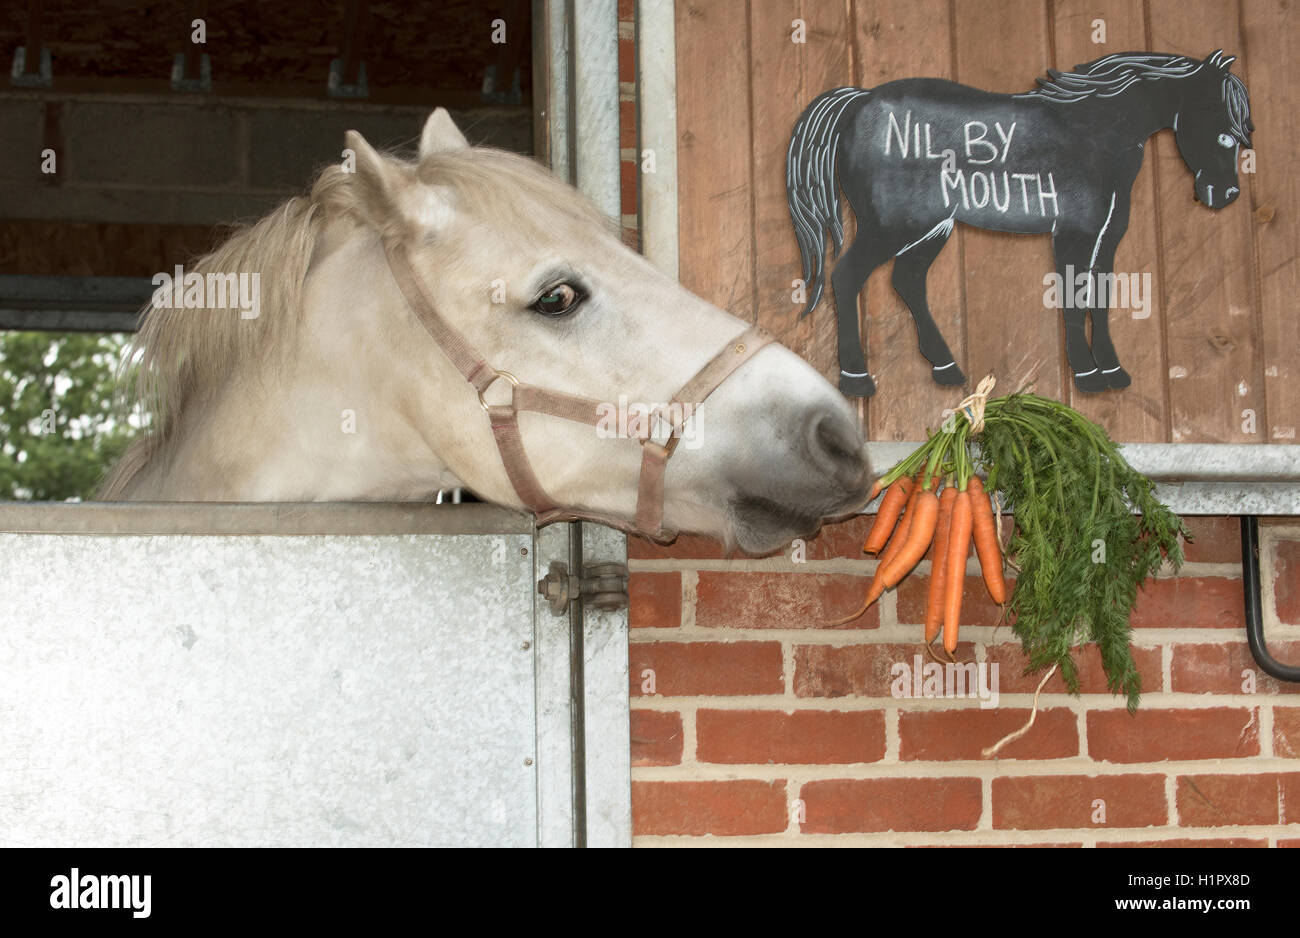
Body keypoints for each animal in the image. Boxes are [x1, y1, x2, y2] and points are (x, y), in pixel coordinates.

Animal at [787, 50, 1254, 398]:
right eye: (1223, 133)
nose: (1224, 195)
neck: (1095, 133)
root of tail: (859, 99)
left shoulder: (1108, 237)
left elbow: (1100, 298)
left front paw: (1113, 372)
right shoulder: (1074, 233)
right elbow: (1073, 297)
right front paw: (1087, 375)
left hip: (933, 225)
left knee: (907, 280)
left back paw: (946, 367)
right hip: (893, 226)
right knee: (847, 277)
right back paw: (856, 379)